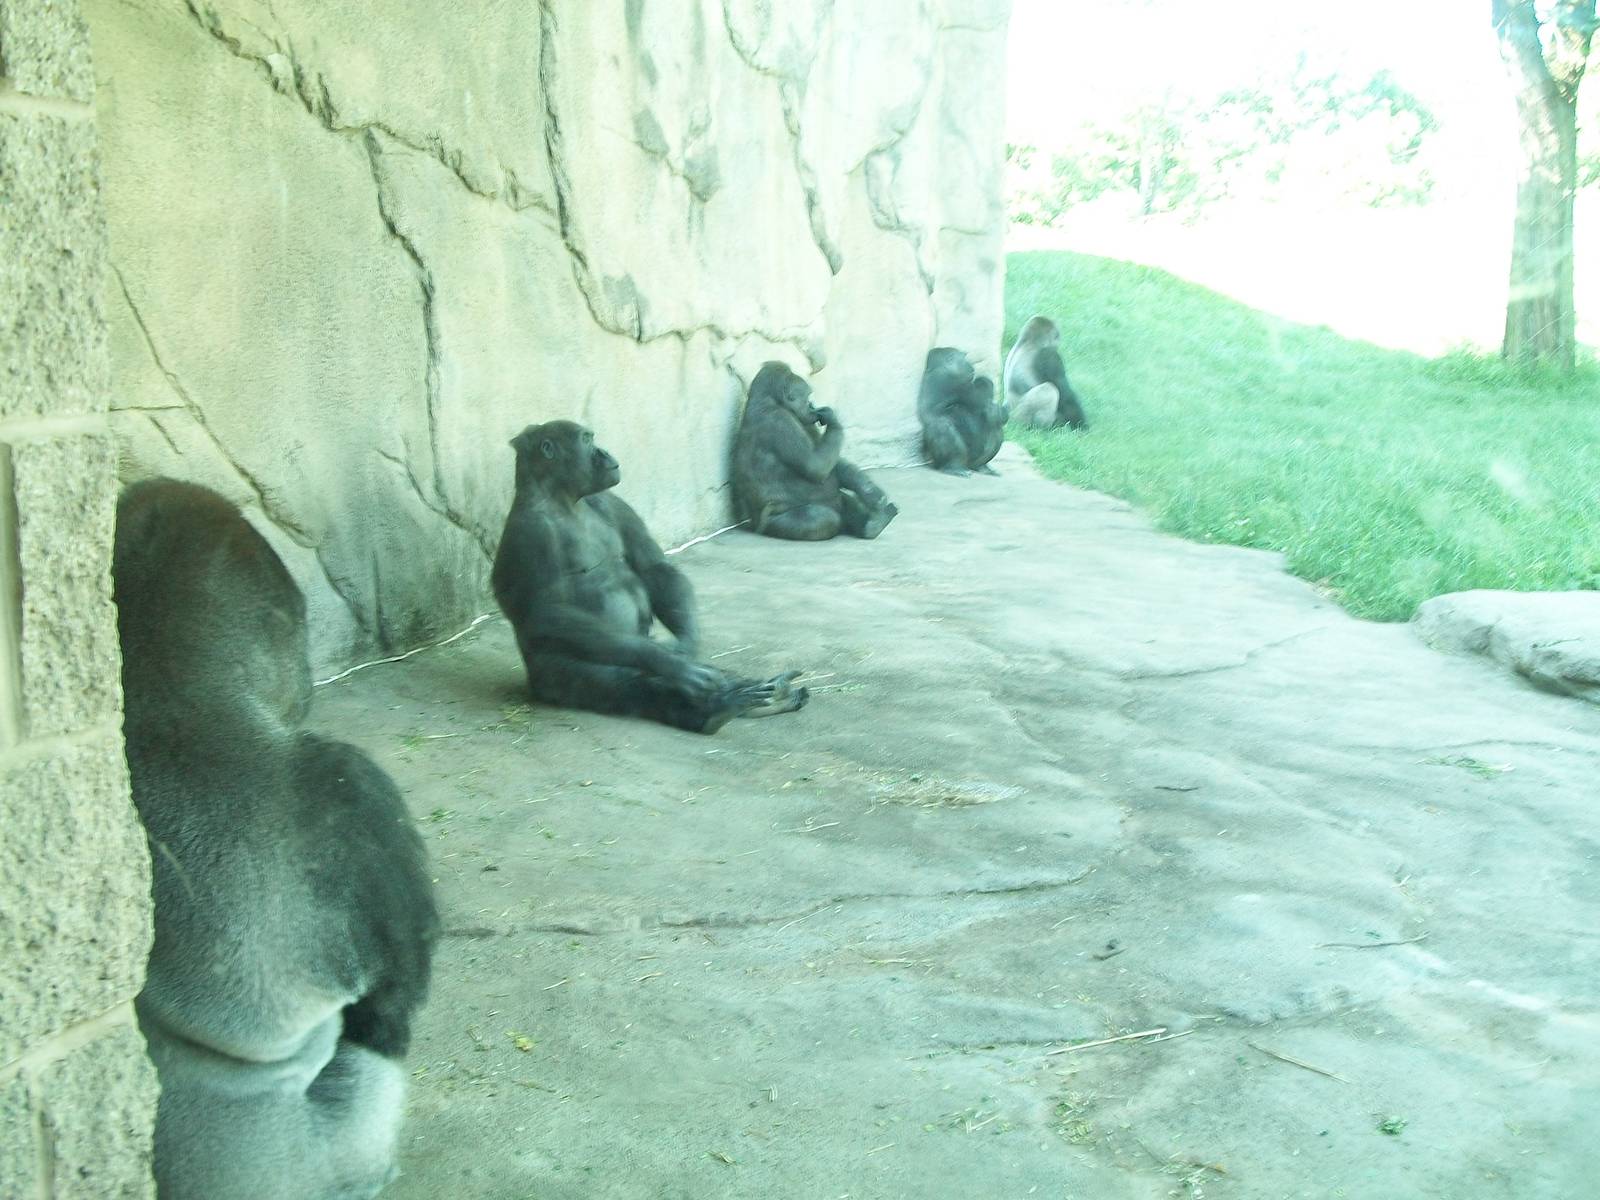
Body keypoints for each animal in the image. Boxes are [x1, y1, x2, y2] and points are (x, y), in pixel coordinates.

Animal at [112, 479, 439, 1200]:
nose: (305, 683)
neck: (166, 703)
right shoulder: (352, 792)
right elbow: (391, 996)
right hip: (317, 1163)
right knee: (374, 1057)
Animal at [492, 420, 809, 733]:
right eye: (586, 440)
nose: (604, 452)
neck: (561, 499)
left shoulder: (609, 500)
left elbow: (654, 568)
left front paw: (686, 645)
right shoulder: (531, 532)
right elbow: (548, 611)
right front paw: (673, 664)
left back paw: (769, 694)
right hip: (551, 678)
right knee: (620, 681)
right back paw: (717, 710)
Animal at [730, 361, 899, 540]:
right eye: (807, 397)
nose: (812, 405)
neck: (766, 401)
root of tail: (756, 528)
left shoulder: (804, 421)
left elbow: (831, 463)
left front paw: (869, 491)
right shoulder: (781, 421)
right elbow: (816, 466)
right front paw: (832, 418)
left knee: (840, 498)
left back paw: (874, 524)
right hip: (771, 525)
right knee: (820, 516)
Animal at [918, 346, 1008, 476]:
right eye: (965, 359)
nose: (971, 367)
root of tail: (967, 465)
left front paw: (997, 412)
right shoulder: (954, 380)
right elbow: (980, 395)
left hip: (973, 462)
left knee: (996, 429)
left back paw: (982, 467)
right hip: (937, 459)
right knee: (941, 426)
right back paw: (953, 466)